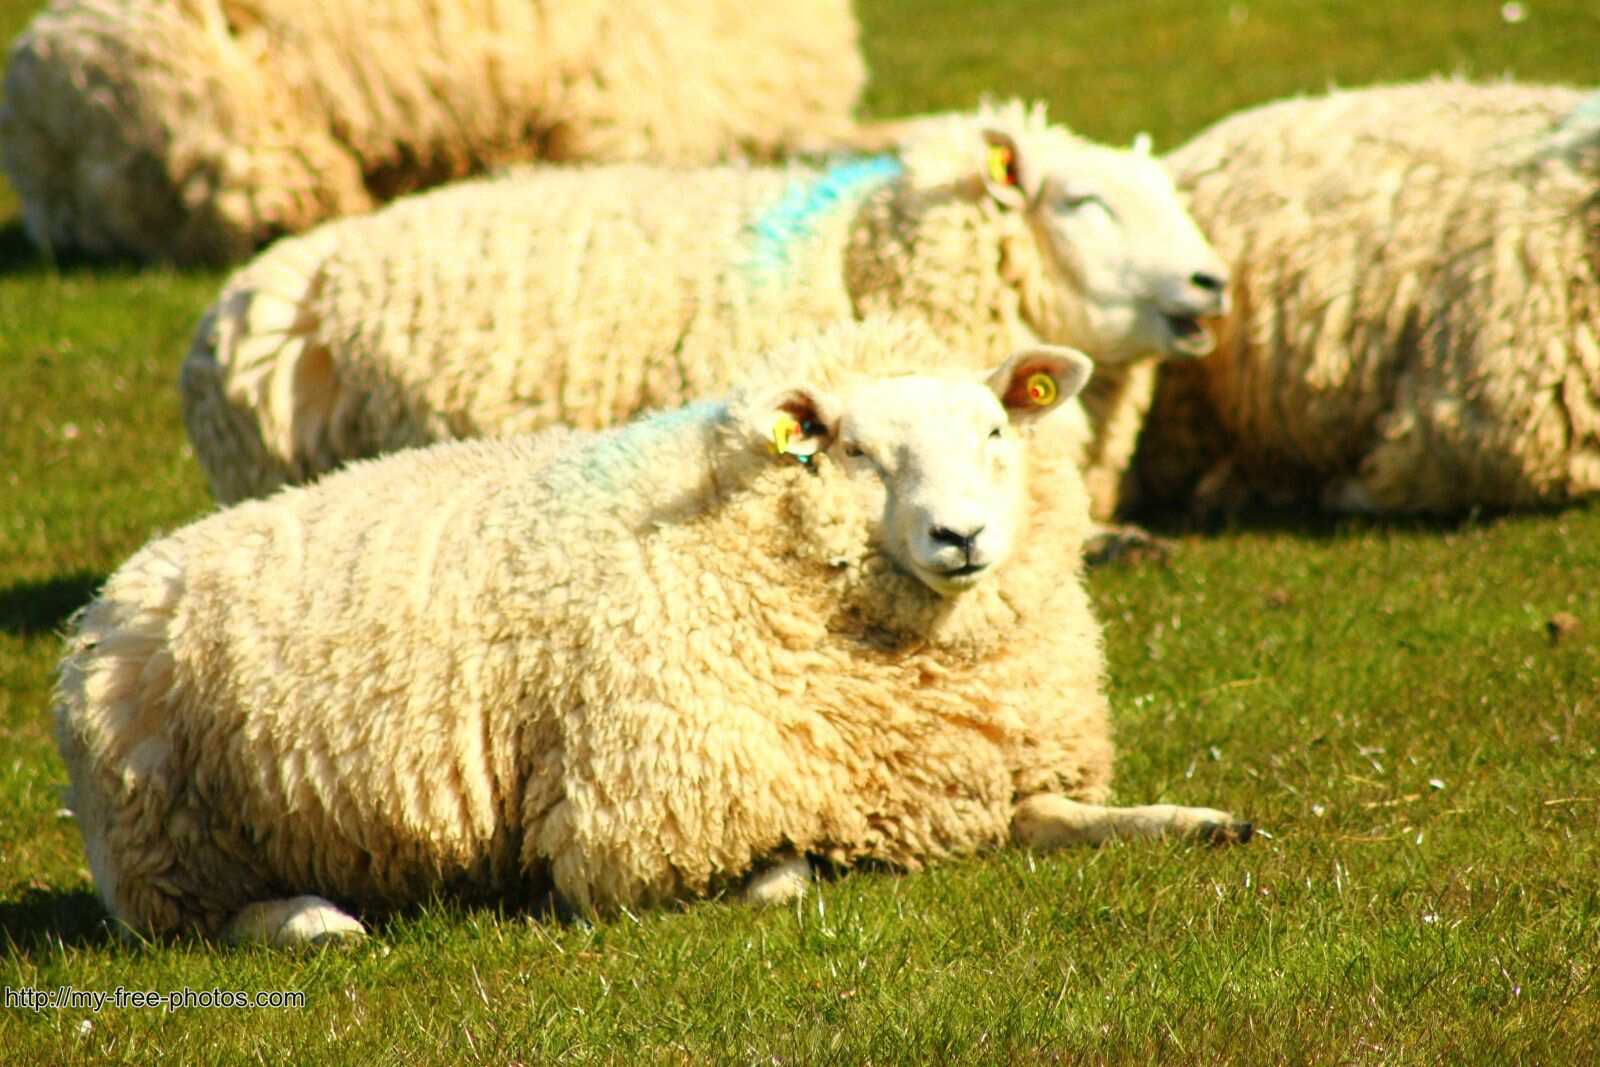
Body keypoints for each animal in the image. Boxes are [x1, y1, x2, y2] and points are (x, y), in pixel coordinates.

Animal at [59, 318, 1250, 946]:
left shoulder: (980, 778)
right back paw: (318, 922)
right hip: (167, 837)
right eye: (855, 450)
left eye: (999, 428)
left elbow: (1076, 819)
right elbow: (777, 874)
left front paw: (1198, 820)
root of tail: (114, 593)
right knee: (201, 919)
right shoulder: (628, 823)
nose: (961, 534)